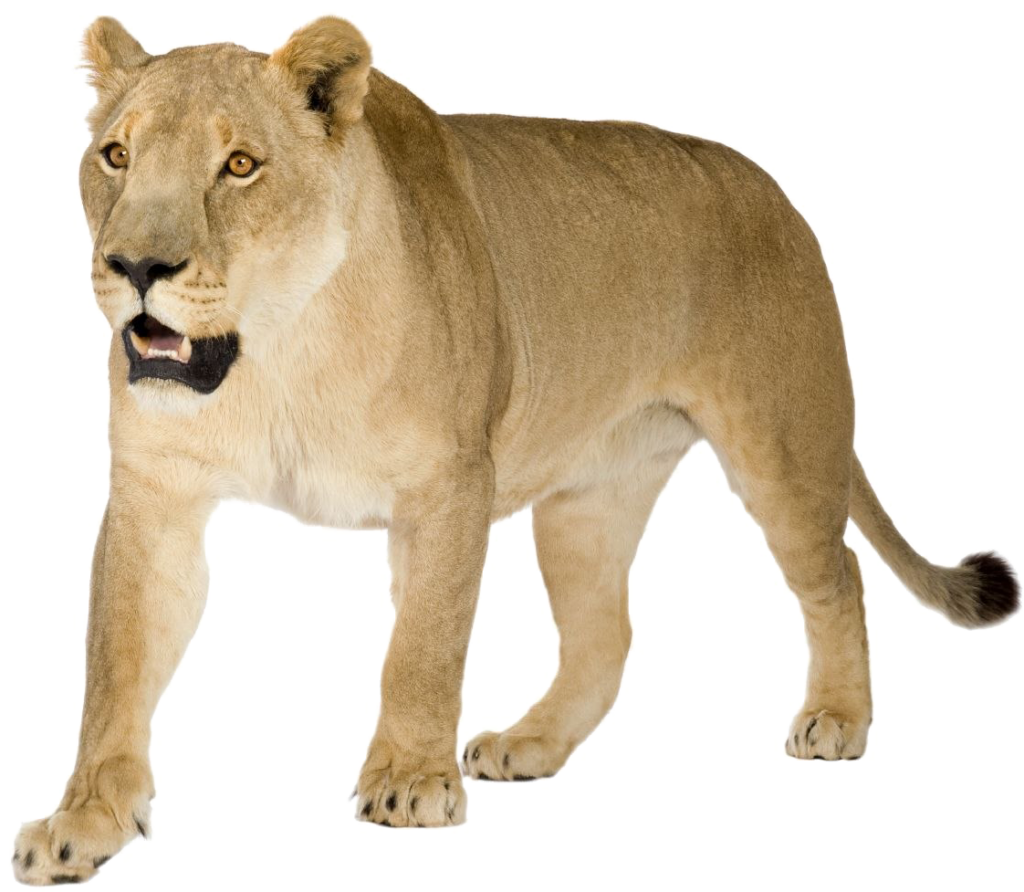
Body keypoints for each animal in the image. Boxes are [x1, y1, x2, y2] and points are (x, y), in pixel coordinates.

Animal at [16, 12, 1020, 881]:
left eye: (238, 165)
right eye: (115, 155)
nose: (136, 268)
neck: (276, 352)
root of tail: (773, 189)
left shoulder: (448, 485)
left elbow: (423, 644)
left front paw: (409, 783)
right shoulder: (154, 493)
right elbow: (116, 664)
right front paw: (81, 825)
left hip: (781, 440)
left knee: (837, 577)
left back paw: (838, 721)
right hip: (589, 497)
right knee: (610, 633)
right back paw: (529, 745)